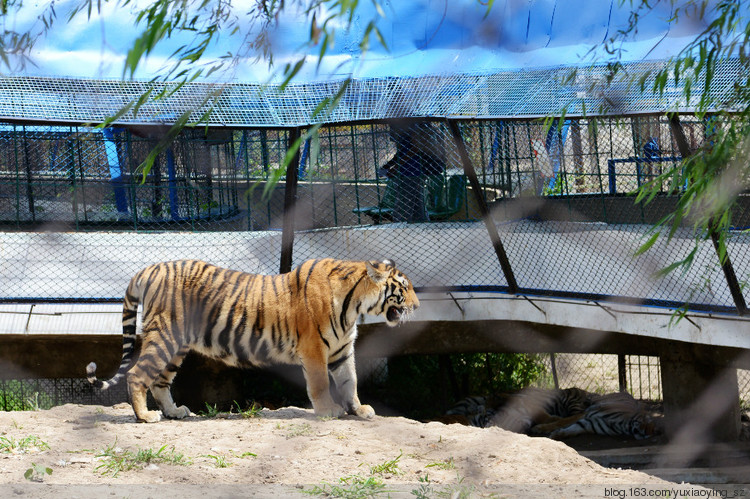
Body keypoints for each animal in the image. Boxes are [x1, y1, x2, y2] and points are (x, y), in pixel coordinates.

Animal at [86, 260, 424, 424]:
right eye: (404, 288)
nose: (418, 306)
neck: (354, 305)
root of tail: (148, 269)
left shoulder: (342, 350)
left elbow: (350, 381)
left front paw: (359, 409)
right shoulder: (314, 349)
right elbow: (319, 384)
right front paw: (329, 411)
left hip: (176, 346)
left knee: (159, 381)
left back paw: (174, 412)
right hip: (164, 337)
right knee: (137, 374)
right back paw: (145, 417)